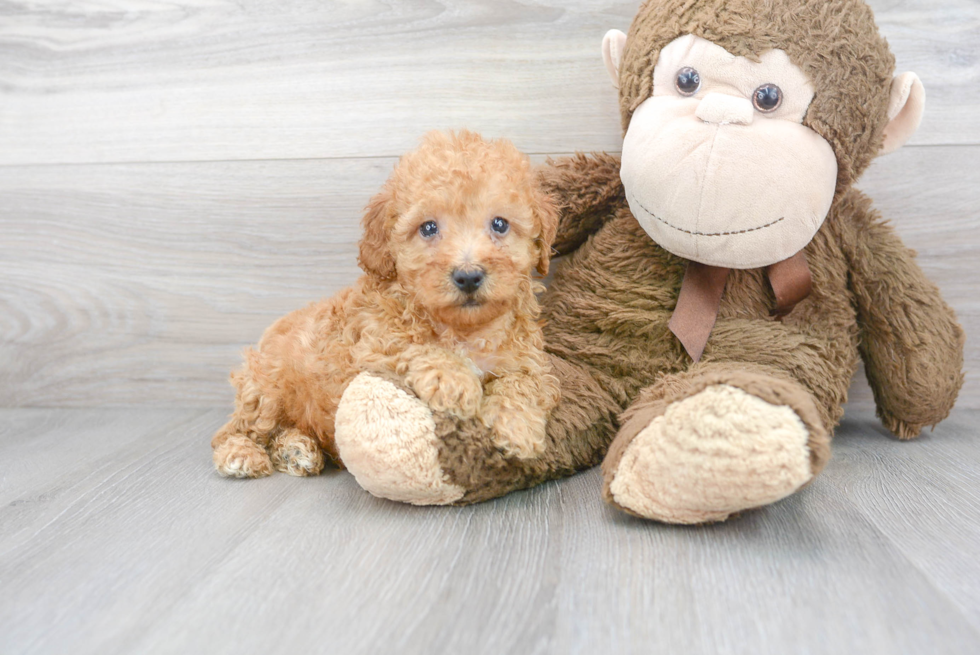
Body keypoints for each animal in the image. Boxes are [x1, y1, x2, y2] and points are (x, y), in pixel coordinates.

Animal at [211, 131, 564, 480]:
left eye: (500, 224)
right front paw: (454, 381)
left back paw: (296, 450)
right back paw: (241, 454)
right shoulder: (371, 345)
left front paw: (517, 426)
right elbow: (414, 346)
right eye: (428, 228)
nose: (468, 276)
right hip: (266, 388)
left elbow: (523, 382)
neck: (463, 329)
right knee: (234, 430)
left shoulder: (528, 360)